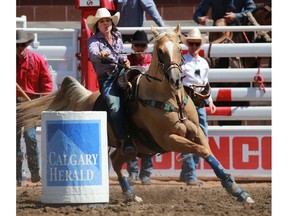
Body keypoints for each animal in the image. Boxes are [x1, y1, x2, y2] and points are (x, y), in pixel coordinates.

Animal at [17, 24, 254, 203]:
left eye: (180, 48)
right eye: (160, 51)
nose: (176, 79)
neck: (170, 98)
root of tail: (84, 99)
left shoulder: (196, 131)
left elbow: (207, 151)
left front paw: (238, 191)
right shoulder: (168, 139)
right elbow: (200, 150)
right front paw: (235, 189)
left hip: (132, 145)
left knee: (115, 160)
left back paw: (130, 194)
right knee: (110, 161)